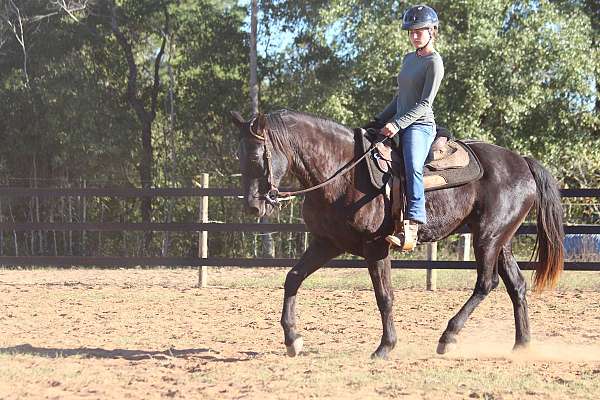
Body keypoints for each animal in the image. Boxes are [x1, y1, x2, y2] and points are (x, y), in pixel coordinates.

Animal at [229, 108, 564, 360]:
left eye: (258, 157)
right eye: (240, 157)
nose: (252, 206)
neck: (342, 172)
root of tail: (522, 162)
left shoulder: (376, 246)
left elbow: (384, 295)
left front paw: (385, 347)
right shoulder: (328, 243)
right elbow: (293, 278)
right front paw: (292, 339)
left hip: (488, 238)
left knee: (486, 283)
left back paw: (448, 337)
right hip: (501, 241)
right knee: (516, 286)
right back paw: (521, 345)